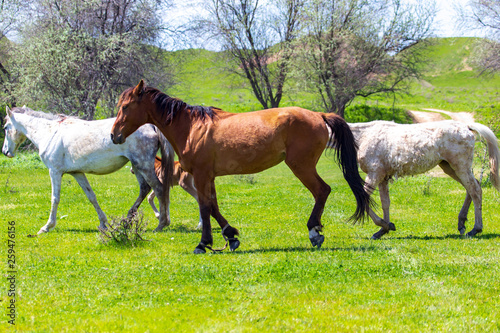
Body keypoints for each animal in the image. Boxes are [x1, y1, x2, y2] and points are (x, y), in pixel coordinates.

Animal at [1, 106, 176, 233]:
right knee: (145, 189)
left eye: (5, 127)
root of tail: (150, 125)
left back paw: (161, 224)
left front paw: (47, 226)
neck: (50, 133)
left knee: (159, 188)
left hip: (143, 165)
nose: (5, 152)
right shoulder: (77, 173)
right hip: (136, 166)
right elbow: (91, 196)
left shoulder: (54, 171)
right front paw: (103, 223)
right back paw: (128, 220)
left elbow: (55, 199)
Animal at [111, 80, 374, 252]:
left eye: (125, 107)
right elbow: (213, 206)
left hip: (301, 166)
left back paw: (314, 232)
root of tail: (319, 115)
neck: (192, 127)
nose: (114, 135)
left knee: (322, 191)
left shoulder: (201, 175)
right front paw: (230, 236)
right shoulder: (208, 176)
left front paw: (203, 243)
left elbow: (204, 207)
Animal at [348, 119, 500, 239]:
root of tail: (466, 127)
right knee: (472, 188)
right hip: (450, 168)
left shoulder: (375, 174)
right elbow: (385, 203)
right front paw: (383, 229)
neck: (365, 136)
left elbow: (363, 198)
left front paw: (385, 226)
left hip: (460, 167)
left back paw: (475, 229)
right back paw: (461, 224)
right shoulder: (383, 177)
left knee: (475, 190)